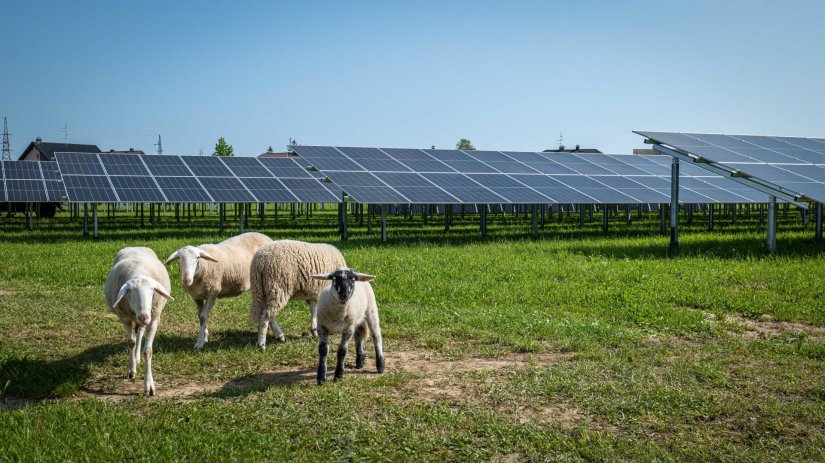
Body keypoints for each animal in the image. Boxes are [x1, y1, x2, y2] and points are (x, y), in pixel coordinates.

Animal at [104, 248, 173, 396]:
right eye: (130, 292)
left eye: (152, 291)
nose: (144, 317)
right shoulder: (125, 318)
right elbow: (131, 342)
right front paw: (131, 370)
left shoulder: (154, 318)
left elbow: (148, 350)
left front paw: (149, 385)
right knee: (136, 335)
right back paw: (134, 360)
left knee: (140, 331)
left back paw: (137, 357)